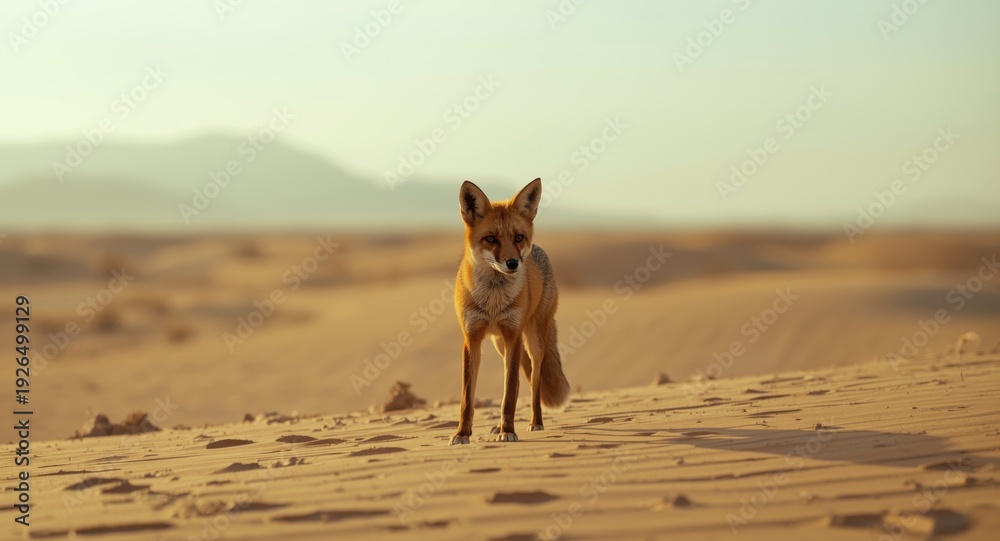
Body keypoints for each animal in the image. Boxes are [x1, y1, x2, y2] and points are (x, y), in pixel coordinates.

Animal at [450, 178, 570, 445]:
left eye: (518, 237)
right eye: (490, 239)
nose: (513, 263)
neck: (493, 302)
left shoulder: (513, 336)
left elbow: (510, 393)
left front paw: (508, 431)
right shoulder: (471, 339)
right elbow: (466, 398)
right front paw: (462, 433)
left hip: (533, 342)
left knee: (534, 384)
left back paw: (535, 422)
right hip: (500, 345)